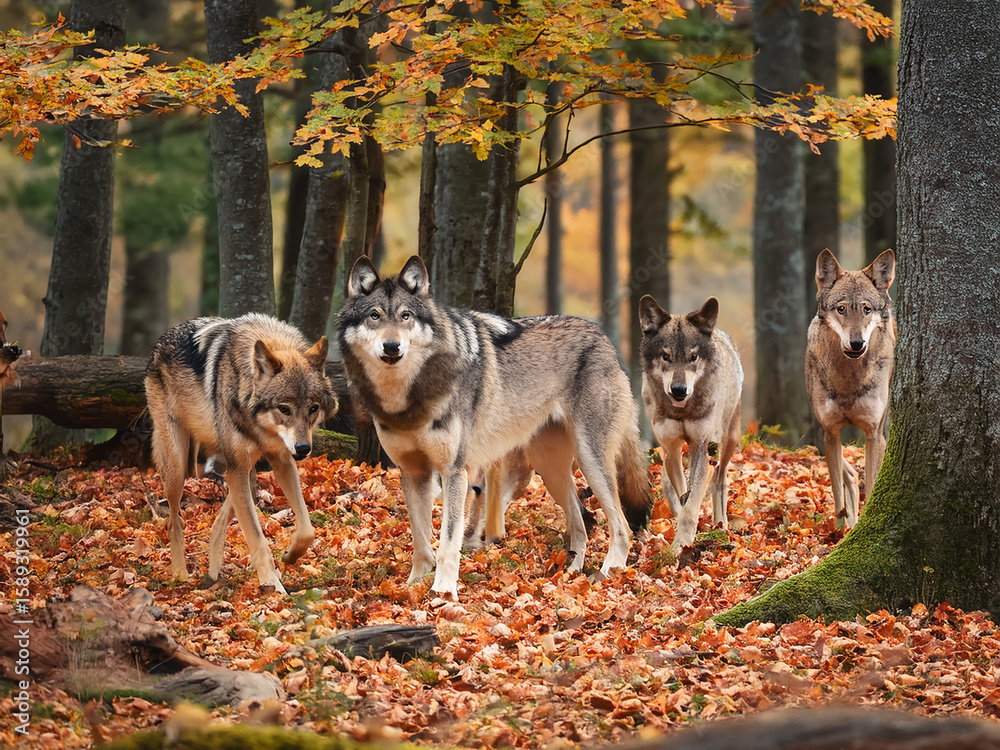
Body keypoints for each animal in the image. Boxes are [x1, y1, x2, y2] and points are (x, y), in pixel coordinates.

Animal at [144, 313, 337, 595]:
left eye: (313, 408)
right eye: (284, 408)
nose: (303, 449)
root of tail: (159, 342)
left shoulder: (281, 459)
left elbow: (306, 530)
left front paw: (290, 556)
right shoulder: (241, 466)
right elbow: (257, 539)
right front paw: (273, 587)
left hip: (244, 470)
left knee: (221, 518)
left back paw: (213, 570)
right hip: (179, 467)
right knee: (174, 520)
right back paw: (180, 574)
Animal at [338, 255, 651, 598]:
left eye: (405, 316)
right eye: (374, 316)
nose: (392, 346)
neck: (407, 398)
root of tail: (605, 339)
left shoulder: (454, 472)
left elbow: (448, 541)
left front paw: (443, 592)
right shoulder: (412, 472)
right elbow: (421, 540)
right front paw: (413, 585)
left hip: (590, 461)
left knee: (621, 525)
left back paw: (608, 575)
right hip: (551, 470)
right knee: (581, 524)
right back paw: (570, 577)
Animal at [638, 296, 743, 551]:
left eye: (693, 357)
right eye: (666, 356)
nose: (679, 390)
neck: (683, 411)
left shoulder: (700, 447)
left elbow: (692, 503)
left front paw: (682, 544)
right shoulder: (671, 448)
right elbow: (683, 494)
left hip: (728, 440)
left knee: (719, 478)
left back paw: (721, 525)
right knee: (669, 482)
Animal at [806, 248, 896, 529]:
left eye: (866, 309)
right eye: (841, 309)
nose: (857, 343)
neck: (848, 380)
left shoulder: (873, 433)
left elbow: (874, 483)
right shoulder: (831, 433)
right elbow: (837, 493)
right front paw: (838, 532)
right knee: (850, 474)